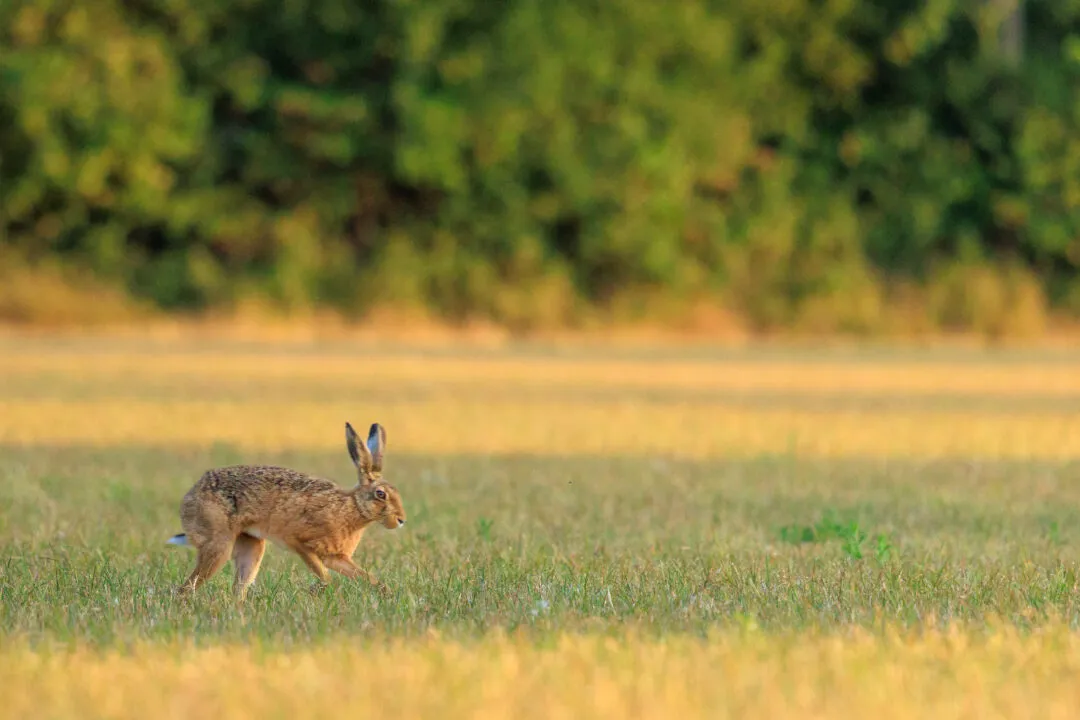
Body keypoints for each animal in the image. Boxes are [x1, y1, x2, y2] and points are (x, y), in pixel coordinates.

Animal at [167, 421, 405, 600]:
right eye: (381, 494)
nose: (401, 520)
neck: (351, 506)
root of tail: (191, 496)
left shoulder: (336, 556)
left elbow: (364, 576)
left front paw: (385, 592)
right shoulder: (299, 542)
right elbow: (325, 575)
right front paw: (317, 590)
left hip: (252, 546)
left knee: (238, 588)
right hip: (219, 545)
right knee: (187, 587)